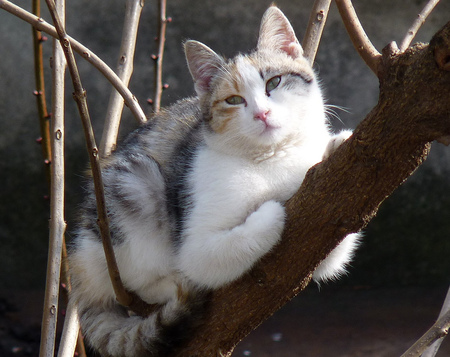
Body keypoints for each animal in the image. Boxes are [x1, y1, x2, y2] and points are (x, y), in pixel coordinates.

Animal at [68, 6, 360, 356]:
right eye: (234, 100)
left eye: (274, 82)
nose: (262, 113)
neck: (273, 156)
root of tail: (76, 269)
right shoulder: (197, 244)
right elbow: (214, 256)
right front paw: (270, 213)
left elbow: (332, 253)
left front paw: (336, 145)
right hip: (135, 184)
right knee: (141, 281)